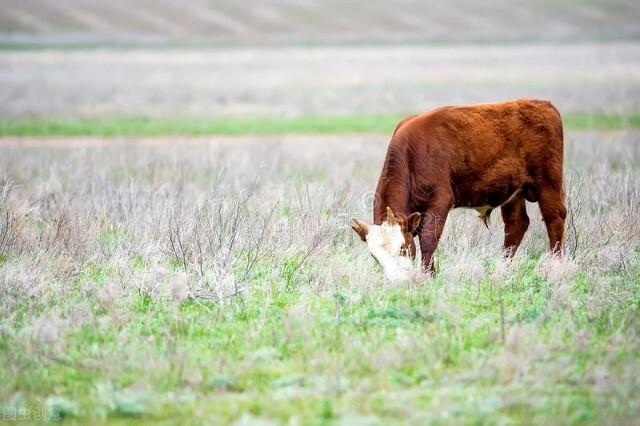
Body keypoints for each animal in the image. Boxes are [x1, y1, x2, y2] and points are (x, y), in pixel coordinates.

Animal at [352, 98, 568, 282]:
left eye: (403, 248)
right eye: (375, 256)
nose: (398, 281)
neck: (413, 155)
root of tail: (543, 104)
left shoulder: (440, 201)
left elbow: (428, 240)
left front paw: (428, 276)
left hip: (548, 182)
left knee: (554, 218)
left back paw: (556, 268)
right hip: (513, 192)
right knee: (516, 225)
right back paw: (500, 272)